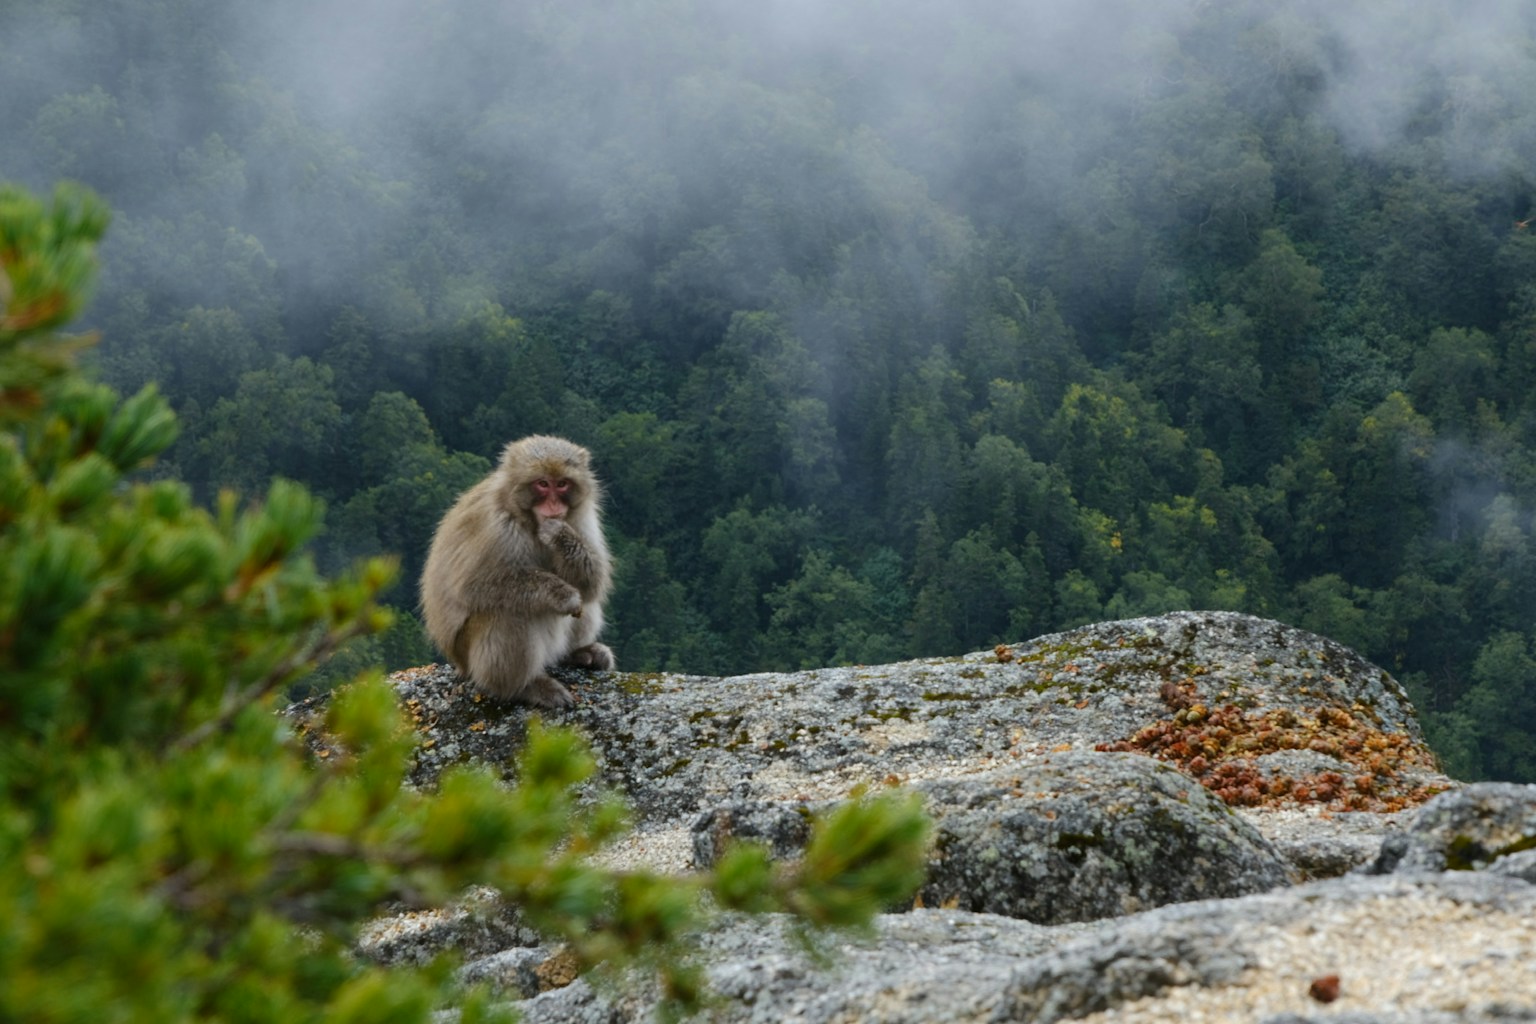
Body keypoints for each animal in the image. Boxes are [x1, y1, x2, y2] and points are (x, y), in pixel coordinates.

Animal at [420, 434, 614, 708]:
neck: (527, 519)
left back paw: (577, 654)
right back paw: (522, 687)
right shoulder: (495, 527)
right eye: (542, 484)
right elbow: (472, 588)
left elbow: (593, 582)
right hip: (469, 655)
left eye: (562, 484)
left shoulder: (582, 516)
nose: (553, 505)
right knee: (509, 612)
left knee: (586, 600)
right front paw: (561, 595)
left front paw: (559, 535)